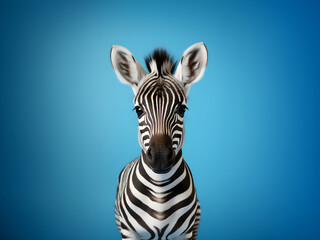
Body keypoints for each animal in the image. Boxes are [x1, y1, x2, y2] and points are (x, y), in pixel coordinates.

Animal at [110, 42, 209, 239]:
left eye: (182, 109)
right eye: (138, 110)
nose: (160, 156)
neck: (160, 190)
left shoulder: (185, 234)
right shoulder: (129, 233)